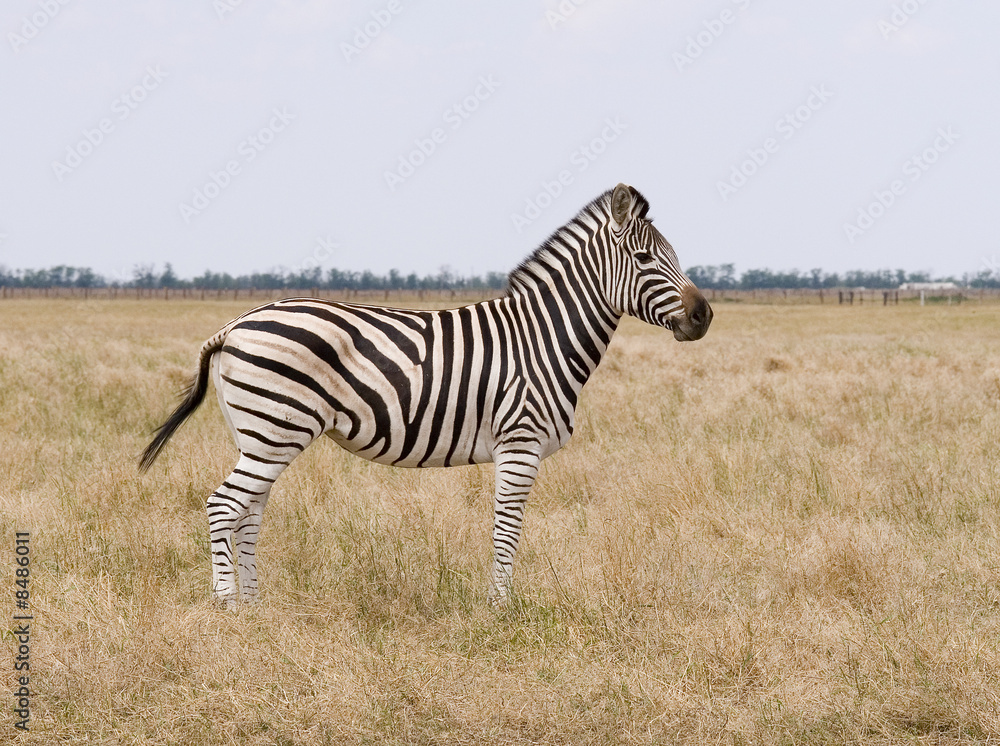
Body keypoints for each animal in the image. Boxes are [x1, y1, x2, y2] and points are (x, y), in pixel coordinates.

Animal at [139, 183, 712, 606]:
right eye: (644, 257)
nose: (704, 315)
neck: (540, 337)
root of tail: (233, 325)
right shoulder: (519, 443)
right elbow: (507, 528)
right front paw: (500, 608)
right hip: (276, 429)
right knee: (223, 505)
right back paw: (227, 606)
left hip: (259, 435)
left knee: (249, 511)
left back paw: (256, 605)